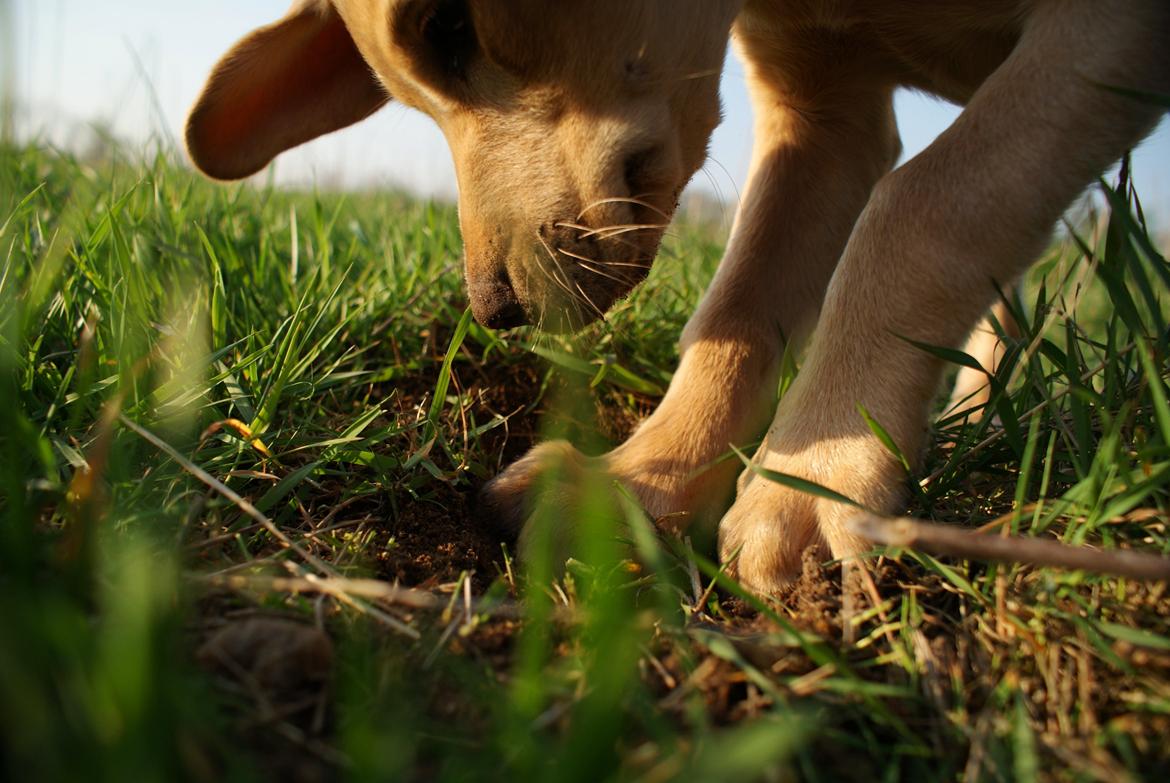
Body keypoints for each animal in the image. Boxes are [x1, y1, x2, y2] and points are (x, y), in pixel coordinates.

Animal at [187, 0, 1165, 592]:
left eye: (449, 27)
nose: (497, 312)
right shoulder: (824, 115)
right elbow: (736, 311)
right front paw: (643, 478)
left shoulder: (1106, 34)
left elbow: (924, 203)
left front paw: (818, 476)